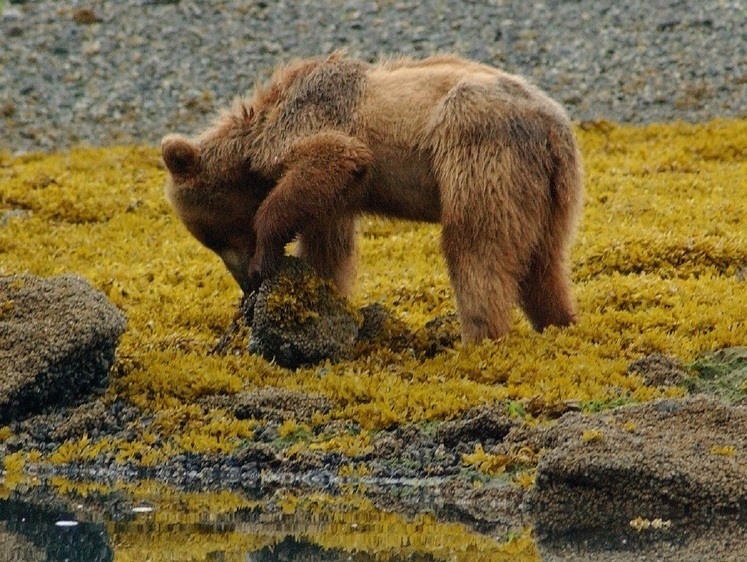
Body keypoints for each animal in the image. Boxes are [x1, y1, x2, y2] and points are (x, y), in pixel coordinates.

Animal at [162, 53, 584, 342]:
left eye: (220, 237)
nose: (244, 283)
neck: (255, 135)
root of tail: (552, 128)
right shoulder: (335, 200)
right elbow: (328, 247)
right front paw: (321, 295)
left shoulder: (310, 122)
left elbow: (336, 154)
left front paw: (267, 258)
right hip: (553, 192)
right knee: (543, 261)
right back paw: (559, 321)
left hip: (480, 151)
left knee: (476, 246)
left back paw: (479, 335)